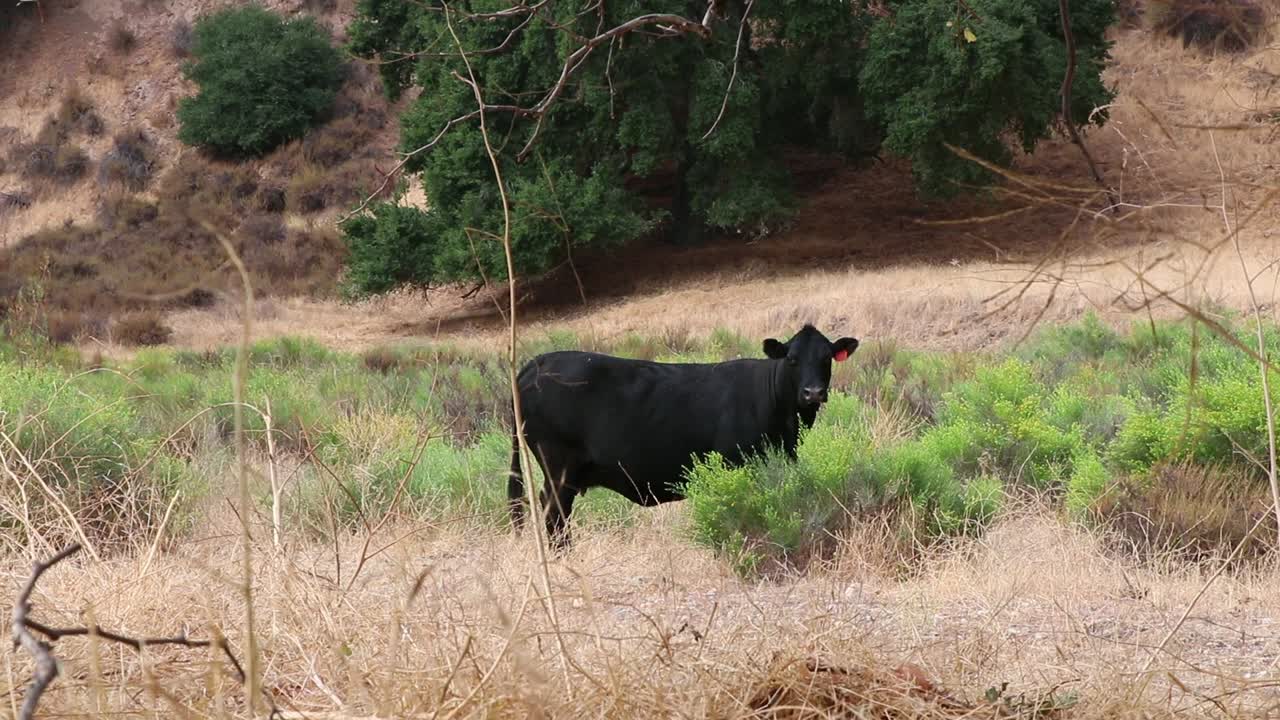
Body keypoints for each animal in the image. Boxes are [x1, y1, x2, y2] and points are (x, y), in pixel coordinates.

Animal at [506, 324, 859, 550]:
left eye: (826, 357)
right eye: (792, 359)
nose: (813, 392)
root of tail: (536, 363)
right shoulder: (736, 461)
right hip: (558, 467)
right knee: (554, 514)